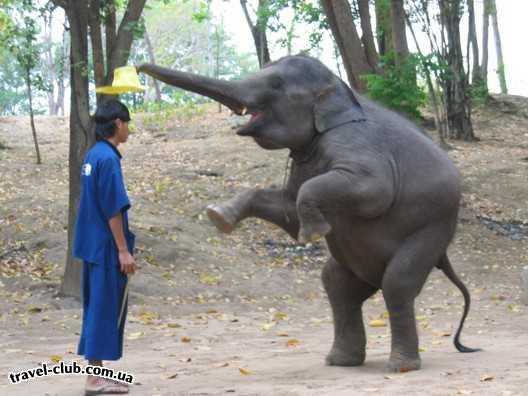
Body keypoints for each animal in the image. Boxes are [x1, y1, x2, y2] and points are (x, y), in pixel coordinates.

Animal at [138, 53, 480, 372]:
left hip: (431, 229)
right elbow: (286, 204)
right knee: (337, 285)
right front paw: (218, 217)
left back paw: (400, 367)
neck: (339, 89)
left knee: (397, 283)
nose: (138, 68)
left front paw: (312, 233)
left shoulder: (360, 148)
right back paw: (341, 361)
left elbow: (373, 191)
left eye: (276, 84)